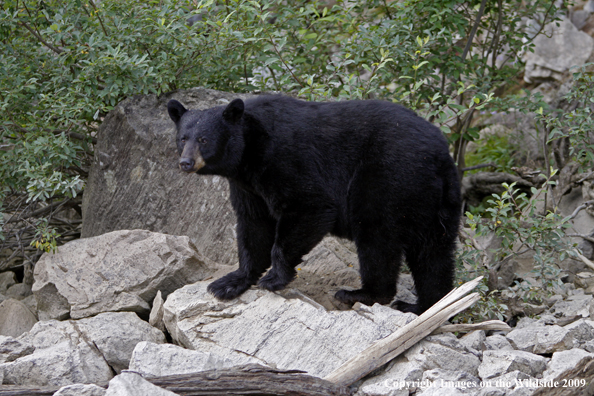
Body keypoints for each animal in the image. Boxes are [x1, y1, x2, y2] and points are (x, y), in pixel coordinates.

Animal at [169, 94, 460, 314]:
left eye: (204, 139)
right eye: (183, 138)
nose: (185, 163)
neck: (249, 150)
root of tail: (440, 154)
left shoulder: (285, 158)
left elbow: (309, 205)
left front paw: (274, 278)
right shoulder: (247, 185)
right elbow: (253, 224)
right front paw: (229, 283)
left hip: (388, 176)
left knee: (377, 236)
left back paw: (360, 293)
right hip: (434, 201)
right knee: (433, 252)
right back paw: (426, 305)